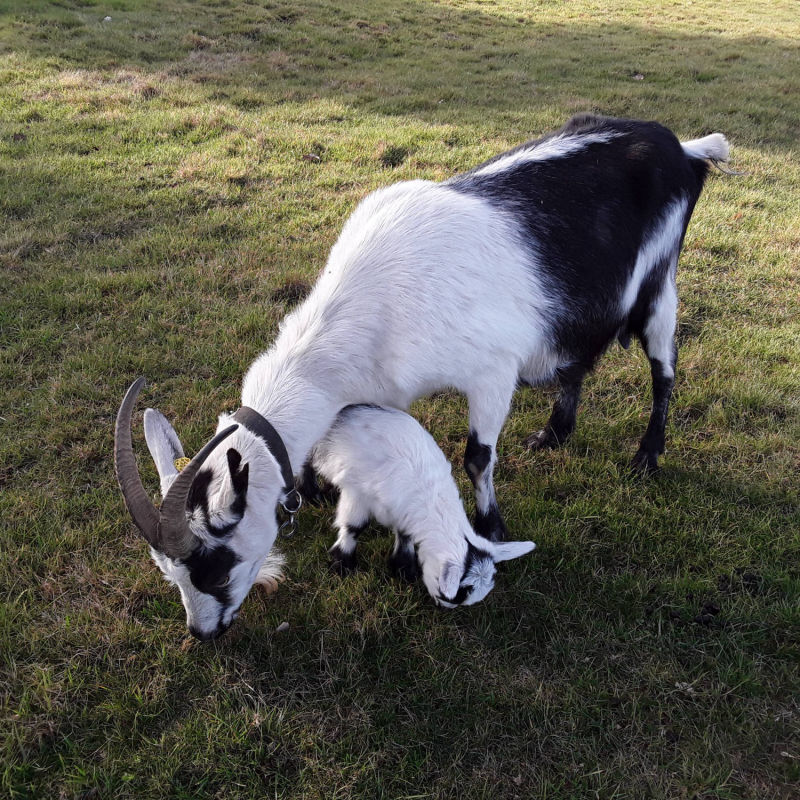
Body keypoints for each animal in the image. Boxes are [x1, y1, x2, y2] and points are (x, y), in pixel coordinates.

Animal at [312, 406, 536, 608]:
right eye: (452, 595)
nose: (441, 606)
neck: (428, 491)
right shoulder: (358, 494)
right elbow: (354, 527)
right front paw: (342, 564)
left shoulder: (403, 513)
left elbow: (404, 535)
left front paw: (402, 569)